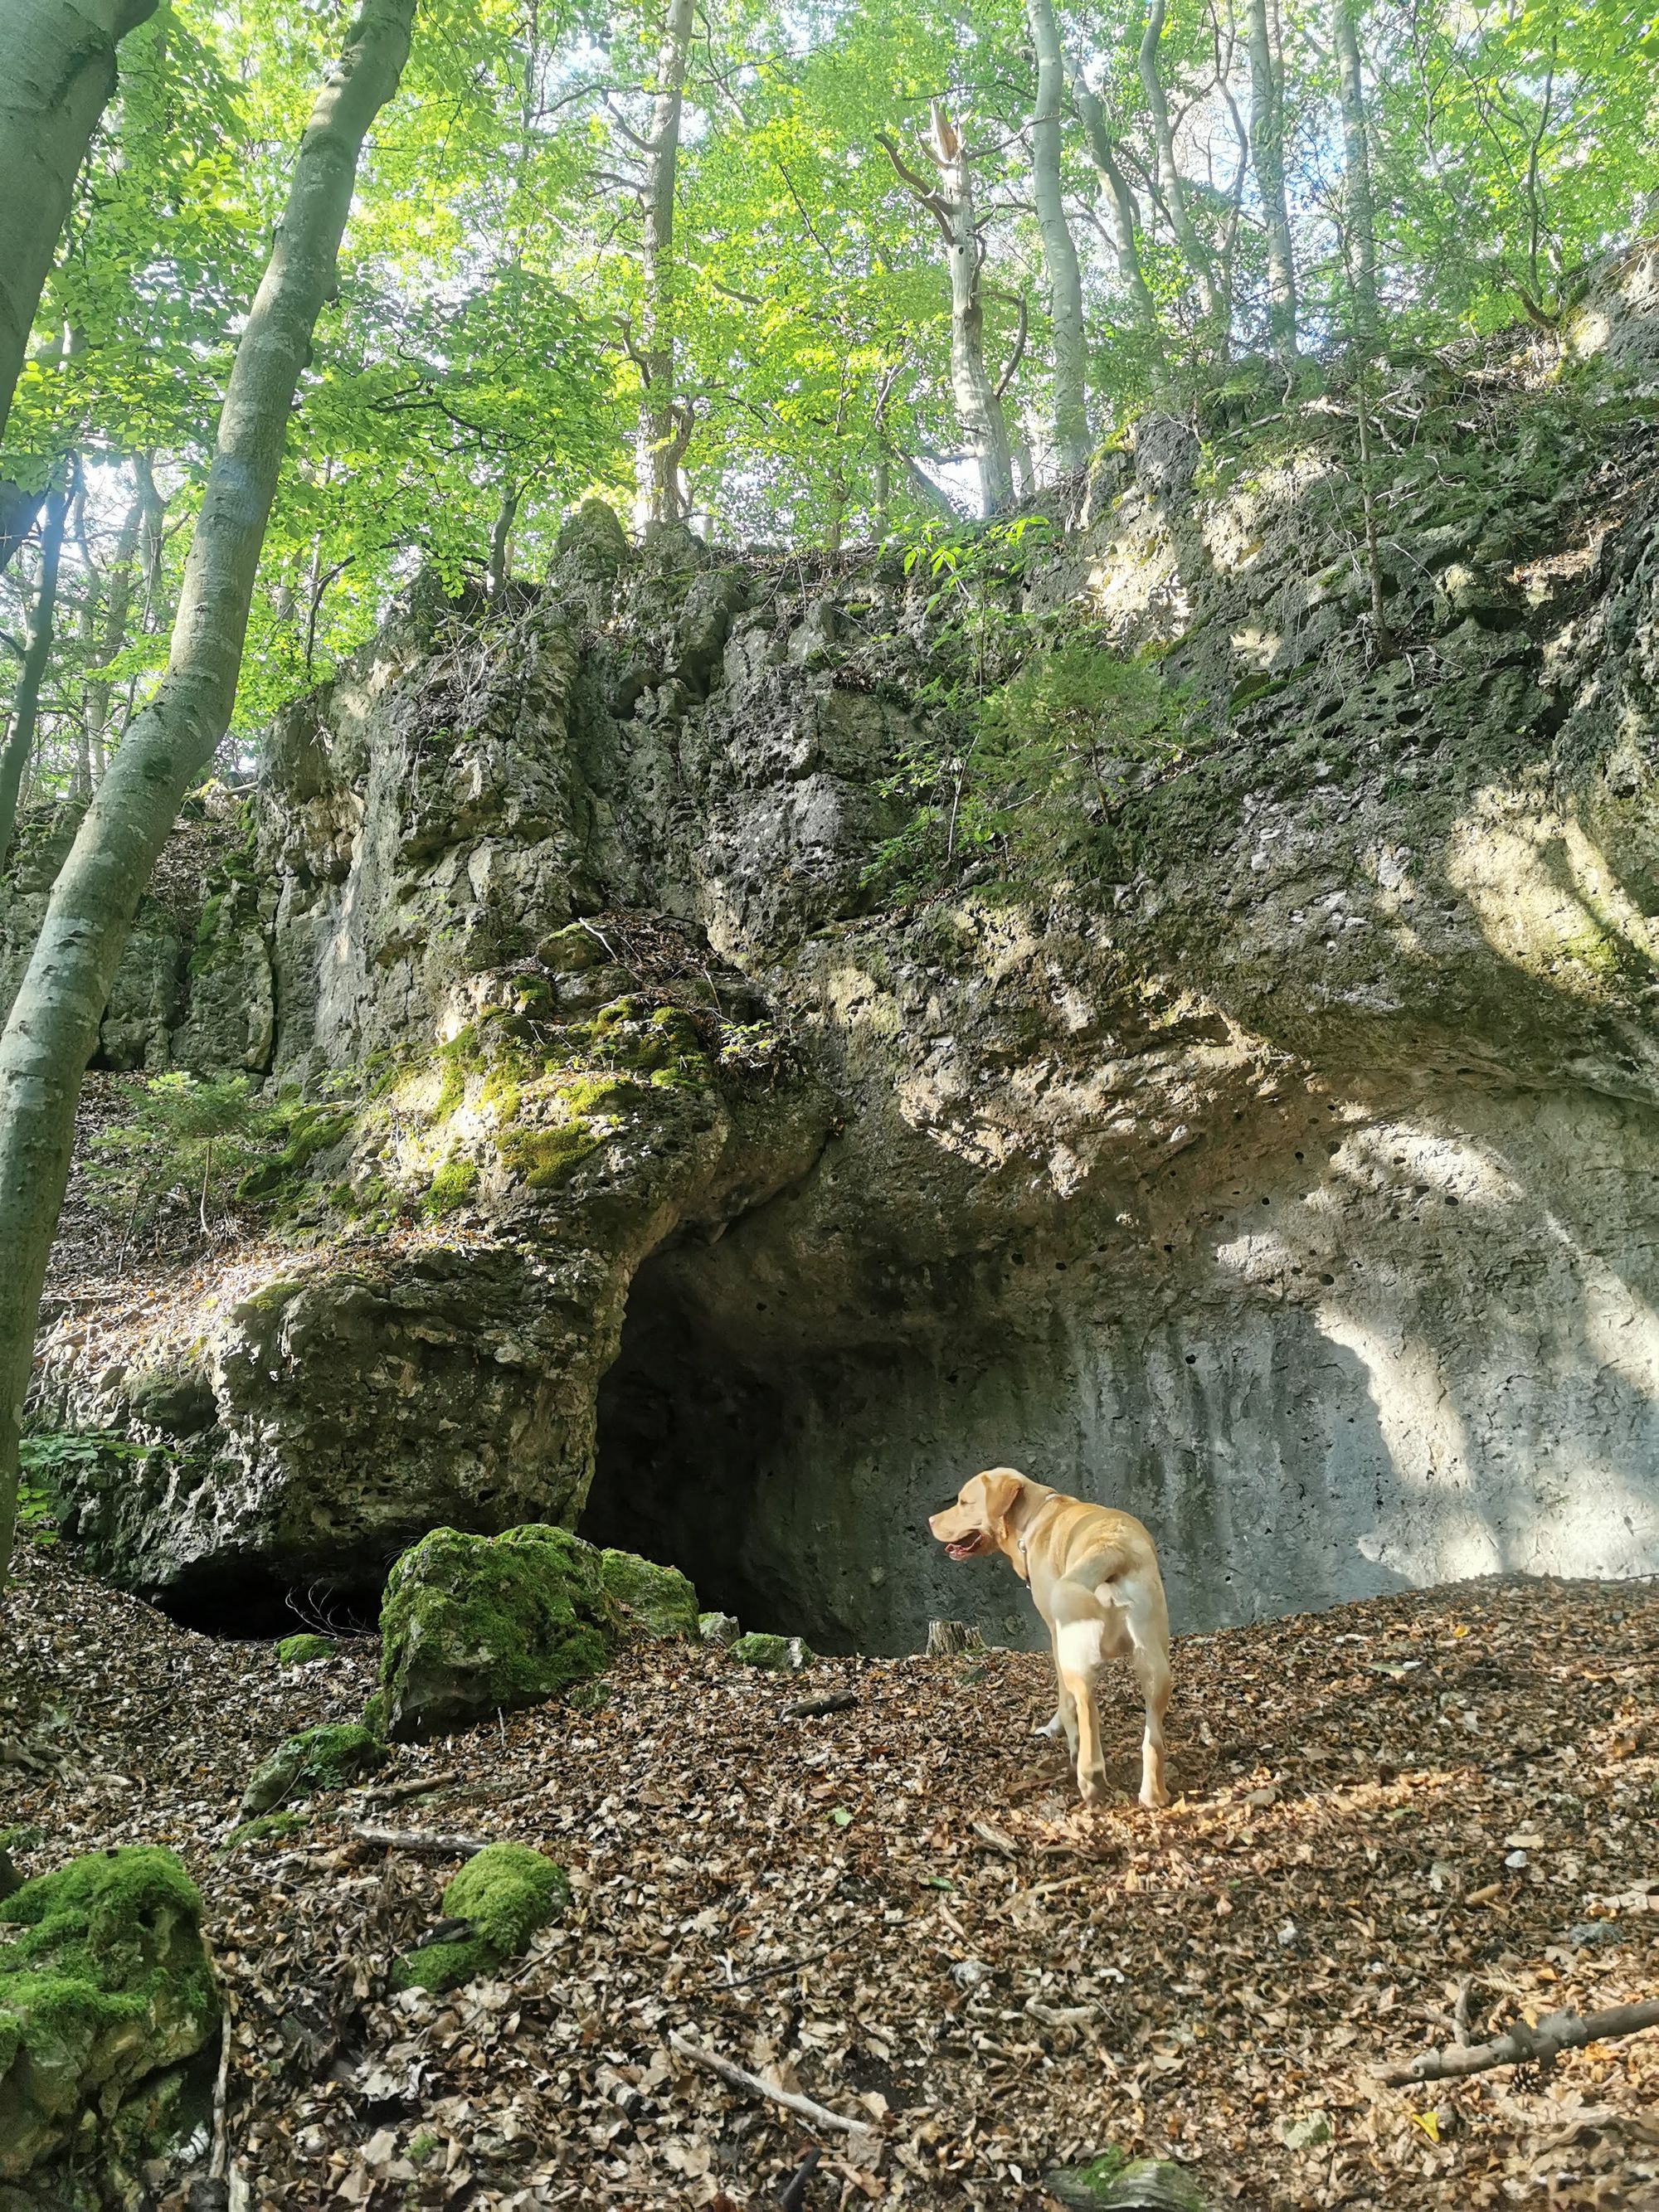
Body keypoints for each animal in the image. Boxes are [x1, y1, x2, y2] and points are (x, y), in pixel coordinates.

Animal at [929, 1460, 1176, 1805]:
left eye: (964, 1502)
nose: (929, 1520)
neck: (1034, 1519)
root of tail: (1112, 1548)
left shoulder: (1055, 1636)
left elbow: (1065, 1701)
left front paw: (1055, 1728)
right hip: (1155, 1661)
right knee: (1152, 1736)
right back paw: (1153, 1793)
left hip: (1076, 1647)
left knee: (1085, 1705)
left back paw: (1088, 1772)